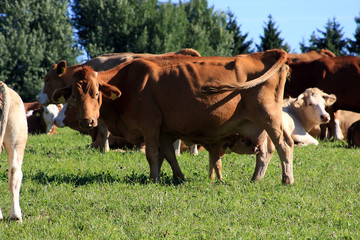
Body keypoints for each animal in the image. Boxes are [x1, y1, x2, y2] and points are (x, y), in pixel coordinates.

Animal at [53, 48, 294, 184]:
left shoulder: (150, 124)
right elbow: (168, 155)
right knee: (265, 151)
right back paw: (255, 179)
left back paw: (287, 179)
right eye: (73, 95)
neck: (129, 80)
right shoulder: (164, 130)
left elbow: (152, 154)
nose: (88, 121)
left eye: (96, 93)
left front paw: (154, 180)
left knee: (284, 145)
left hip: (269, 117)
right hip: (256, 125)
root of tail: (264, 53)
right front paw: (179, 177)